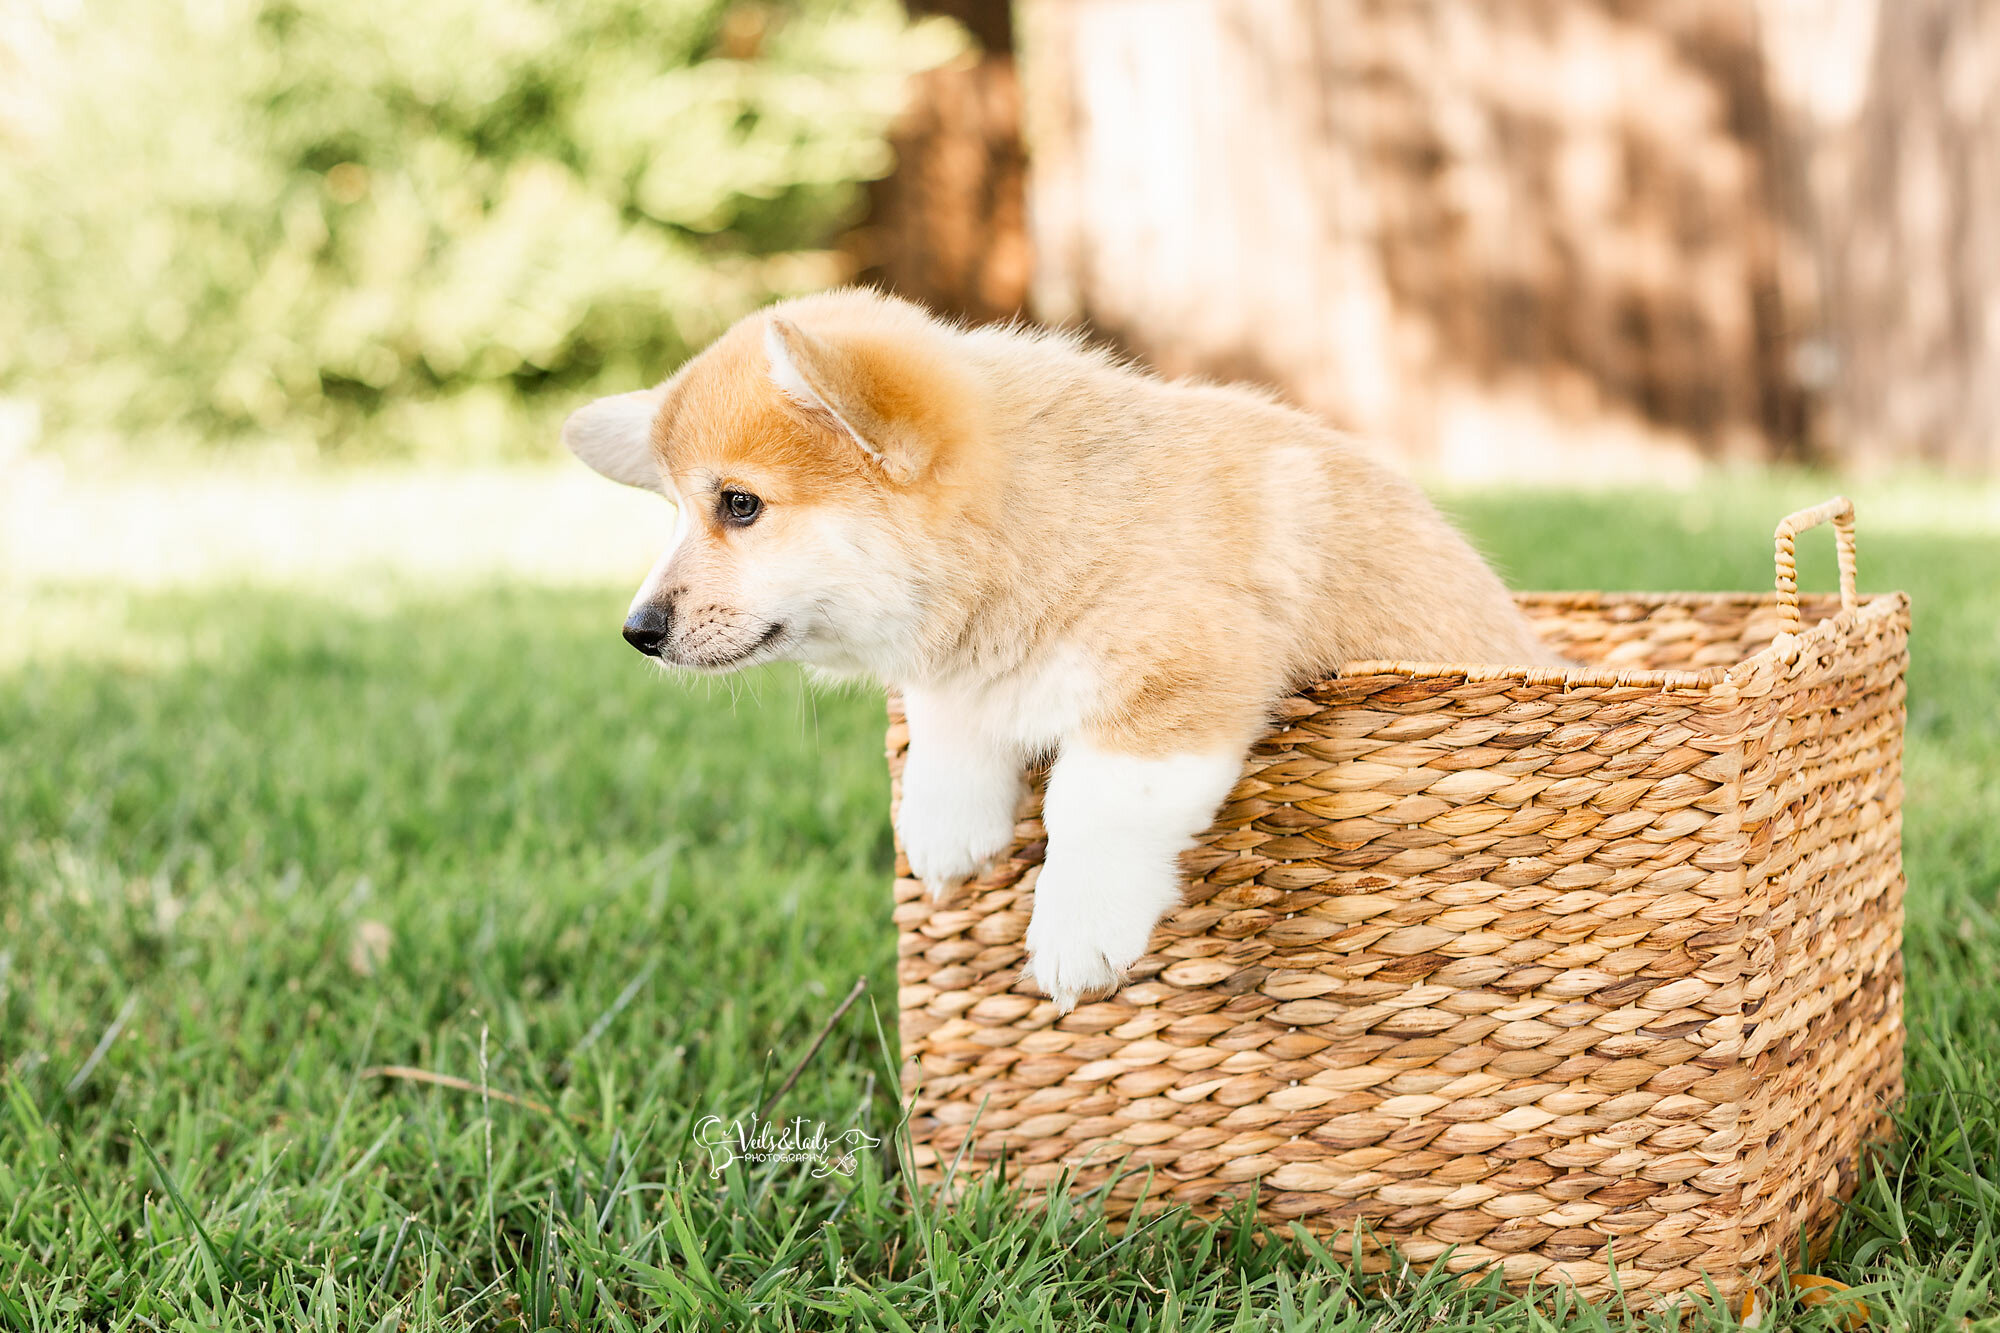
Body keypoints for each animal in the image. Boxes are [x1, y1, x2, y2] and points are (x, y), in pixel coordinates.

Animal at [564, 288, 1560, 1008]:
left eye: (739, 504)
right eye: (677, 510)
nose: (638, 631)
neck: (1039, 523)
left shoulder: (1179, 682)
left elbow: (1093, 804)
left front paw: (1074, 930)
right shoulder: (961, 666)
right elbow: (951, 712)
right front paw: (945, 821)